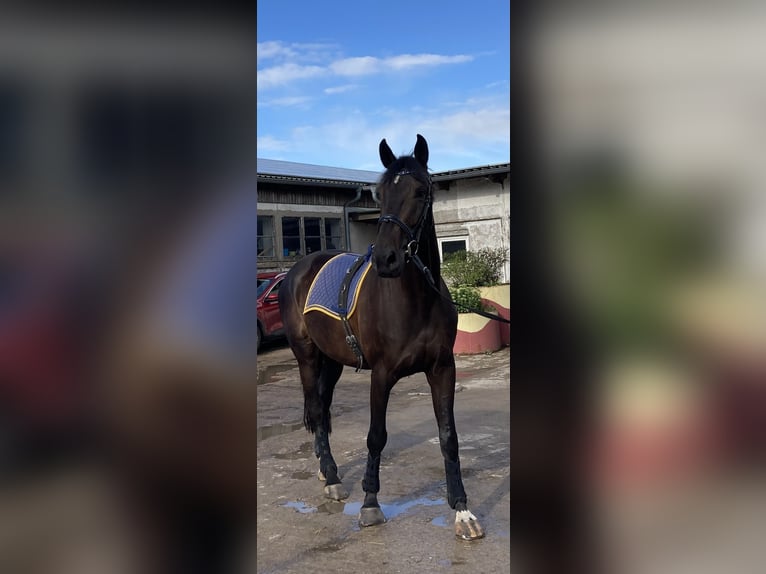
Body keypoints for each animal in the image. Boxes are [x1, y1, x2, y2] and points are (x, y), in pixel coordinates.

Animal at [280, 133, 486, 544]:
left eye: (421, 191)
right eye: (380, 193)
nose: (387, 260)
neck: (414, 301)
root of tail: (298, 269)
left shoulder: (443, 369)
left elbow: (449, 436)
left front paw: (462, 510)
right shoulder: (382, 374)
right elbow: (376, 435)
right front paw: (370, 504)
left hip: (332, 362)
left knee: (322, 409)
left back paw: (326, 469)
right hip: (307, 357)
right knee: (316, 410)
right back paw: (331, 477)